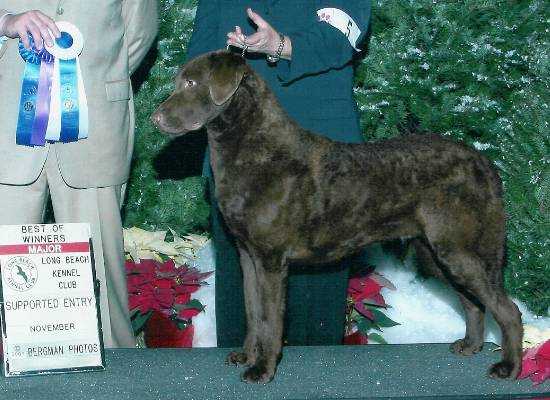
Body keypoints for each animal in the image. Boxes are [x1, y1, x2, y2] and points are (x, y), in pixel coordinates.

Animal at [153, 50, 524, 384]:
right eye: (178, 81)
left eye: (191, 83)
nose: (155, 118)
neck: (255, 152)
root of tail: (484, 164)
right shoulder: (247, 255)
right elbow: (253, 312)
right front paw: (247, 355)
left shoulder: (271, 260)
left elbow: (270, 320)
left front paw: (263, 370)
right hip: (435, 253)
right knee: (473, 303)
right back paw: (470, 346)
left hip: (456, 249)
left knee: (507, 310)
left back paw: (508, 367)